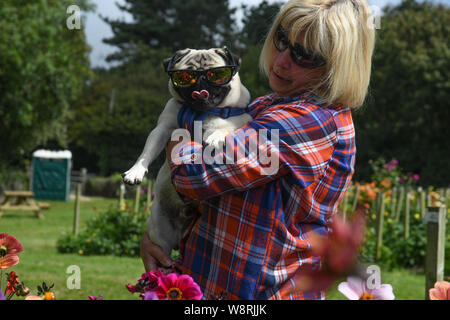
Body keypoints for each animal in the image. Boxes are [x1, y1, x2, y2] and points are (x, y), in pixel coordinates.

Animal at [121, 47, 251, 258]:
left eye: (216, 74)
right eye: (185, 76)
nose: (201, 82)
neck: (198, 112)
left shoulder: (237, 120)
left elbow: (224, 127)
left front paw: (215, 137)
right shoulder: (162, 129)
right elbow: (147, 152)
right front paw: (135, 171)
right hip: (161, 235)